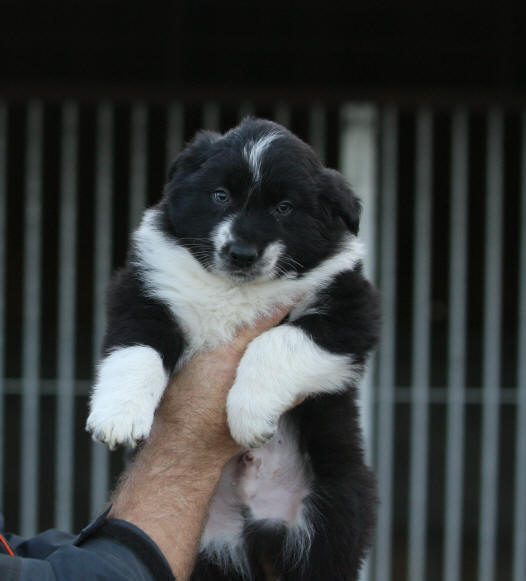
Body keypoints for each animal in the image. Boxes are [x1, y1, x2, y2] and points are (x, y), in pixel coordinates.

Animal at [88, 119, 382, 580]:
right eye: (220, 196)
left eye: (284, 207)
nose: (242, 253)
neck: (234, 289)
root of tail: (257, 529)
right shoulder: (145, 291)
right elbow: (136, 350)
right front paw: (118, 417)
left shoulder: (351, 311)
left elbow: (273, 341)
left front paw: (249, 415)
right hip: (210, 552)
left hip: (335, 515)